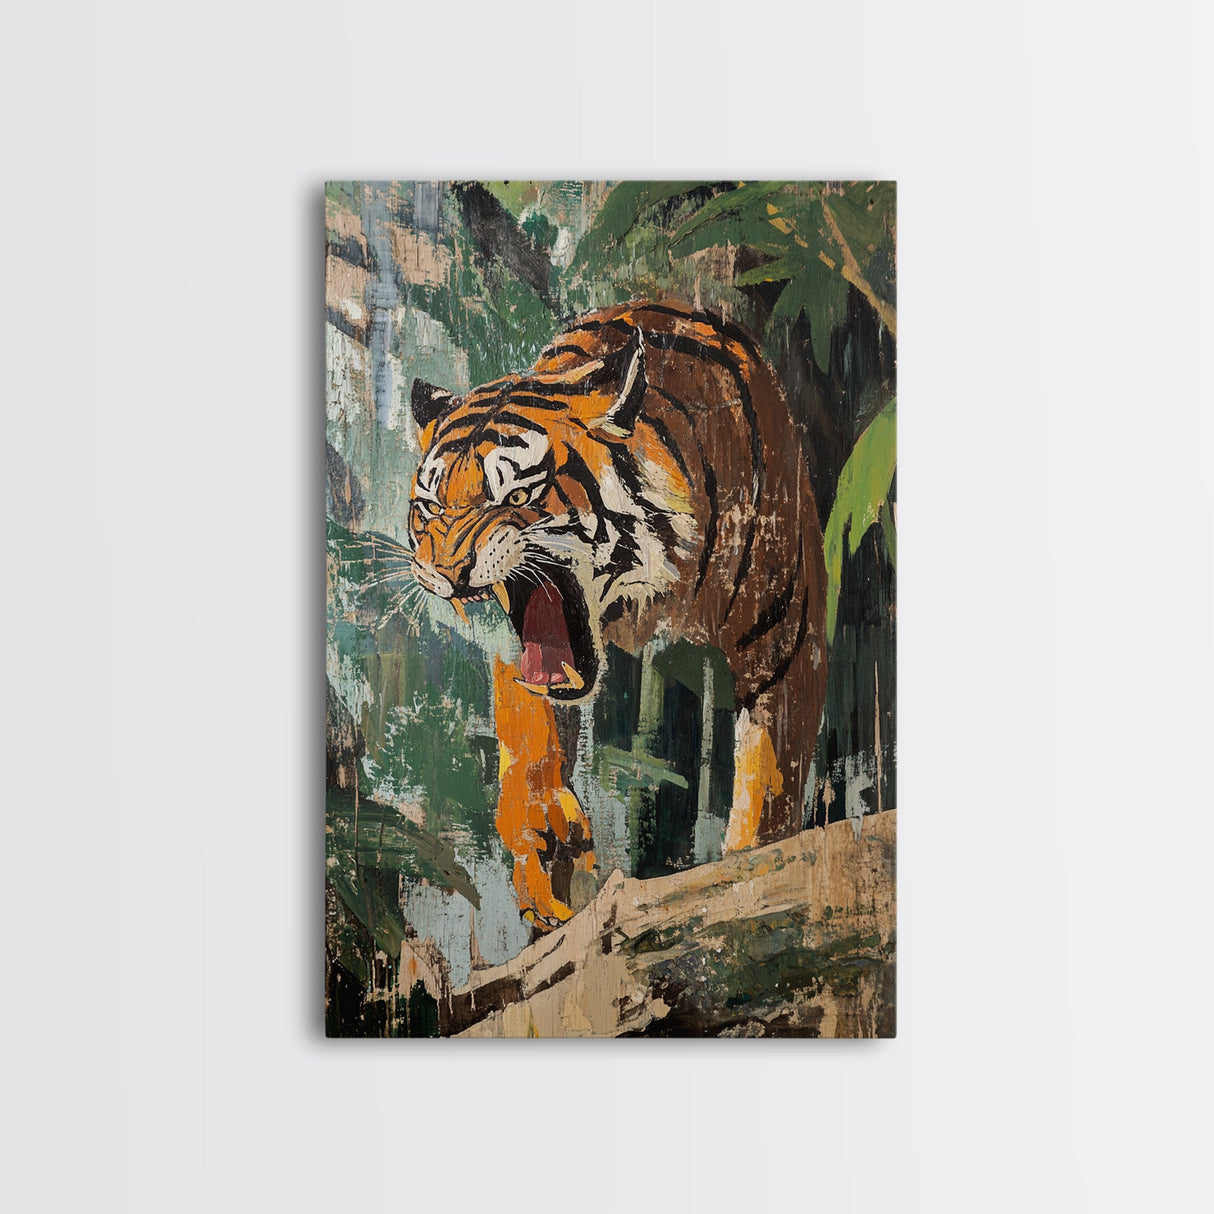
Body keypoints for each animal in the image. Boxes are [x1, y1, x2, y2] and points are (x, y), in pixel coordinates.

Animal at [408, 300, 828, 930]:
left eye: (516, 498)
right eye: (432, 507)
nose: (447, 572)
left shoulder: (785, 643)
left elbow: (769, 782)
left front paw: (751, 873)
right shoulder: (518, 656)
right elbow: (528, 736)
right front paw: (543, 843)